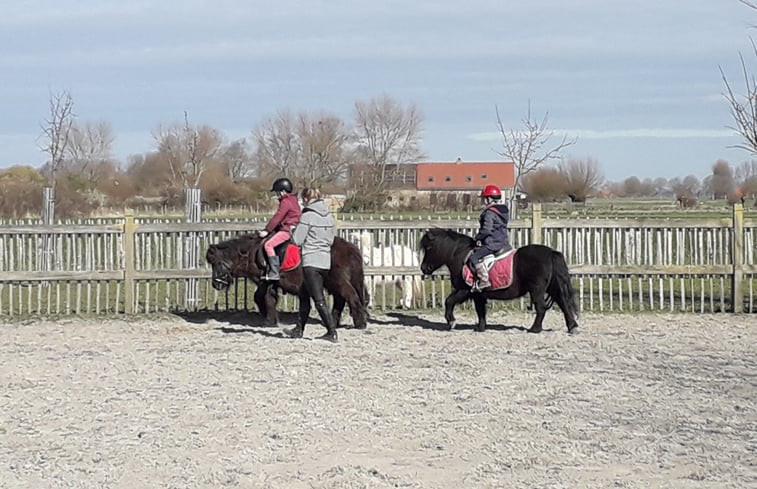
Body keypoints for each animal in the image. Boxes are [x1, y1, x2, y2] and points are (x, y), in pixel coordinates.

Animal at [207, 233, 370, 328]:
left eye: (215, 262)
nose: (215, 284)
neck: (252, 252)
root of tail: (351, 249)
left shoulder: (265, 281)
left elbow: (264, 298)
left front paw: (268, 321)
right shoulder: (269, 283)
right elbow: (265, 298)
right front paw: (270, 318)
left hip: (339, 282)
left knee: (352, 297)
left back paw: (360, 324)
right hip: (333, 284)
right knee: (340, 301)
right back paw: (333, 323)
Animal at [420, 228, 580, 334]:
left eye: (429, 247)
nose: (423, 268)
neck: (460, 256)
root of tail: (551, 252)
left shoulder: (465, 290)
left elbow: (449, 301)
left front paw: (451, 321)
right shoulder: (478, 294)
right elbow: (480, 311)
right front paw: (480, 328)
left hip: (537, 290)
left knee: (541, 308)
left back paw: (534, 329)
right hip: (551, 287)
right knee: (563, 303)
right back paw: (572, 327)